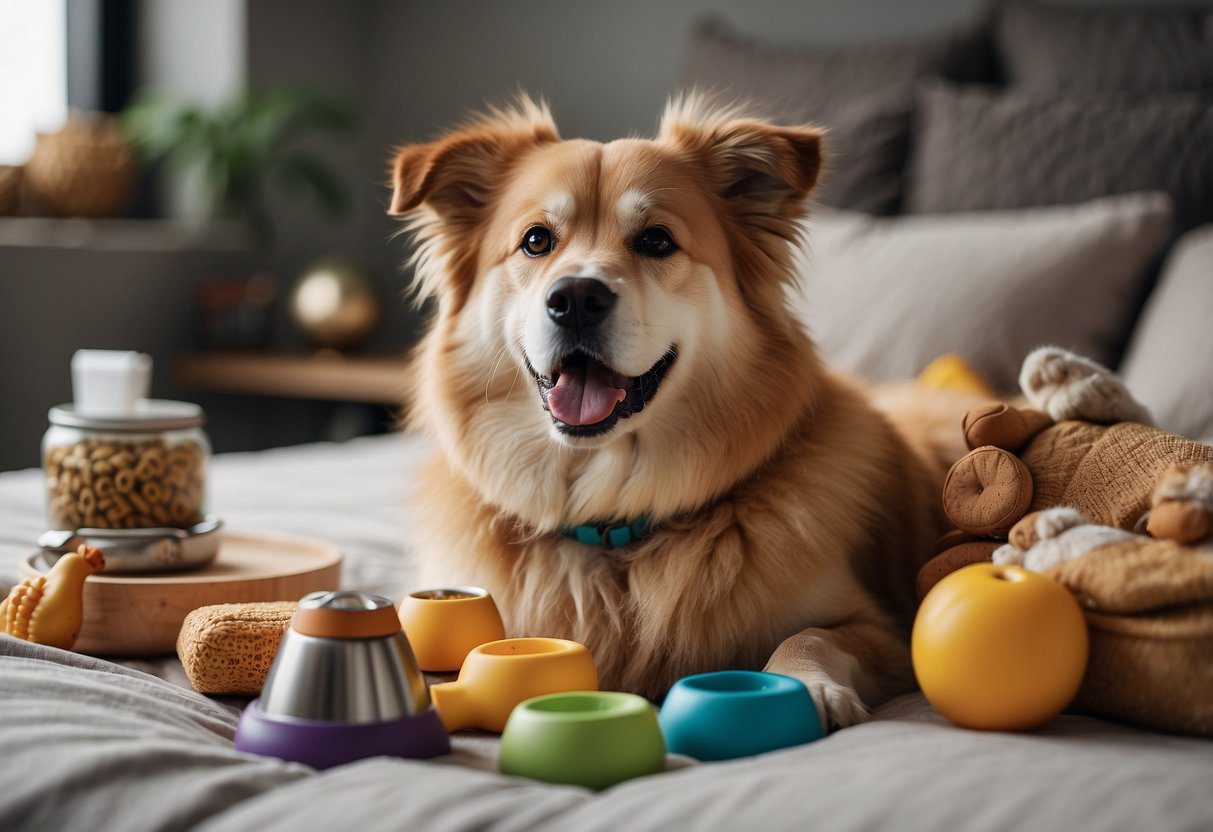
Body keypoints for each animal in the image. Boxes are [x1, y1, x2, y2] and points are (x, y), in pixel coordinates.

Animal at [390, 92, 975, 727]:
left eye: (656, 241)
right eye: (537, 241)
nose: (575, 299)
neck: (612, 522)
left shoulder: (881, 630)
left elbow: (812, 635)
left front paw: (807, 685)